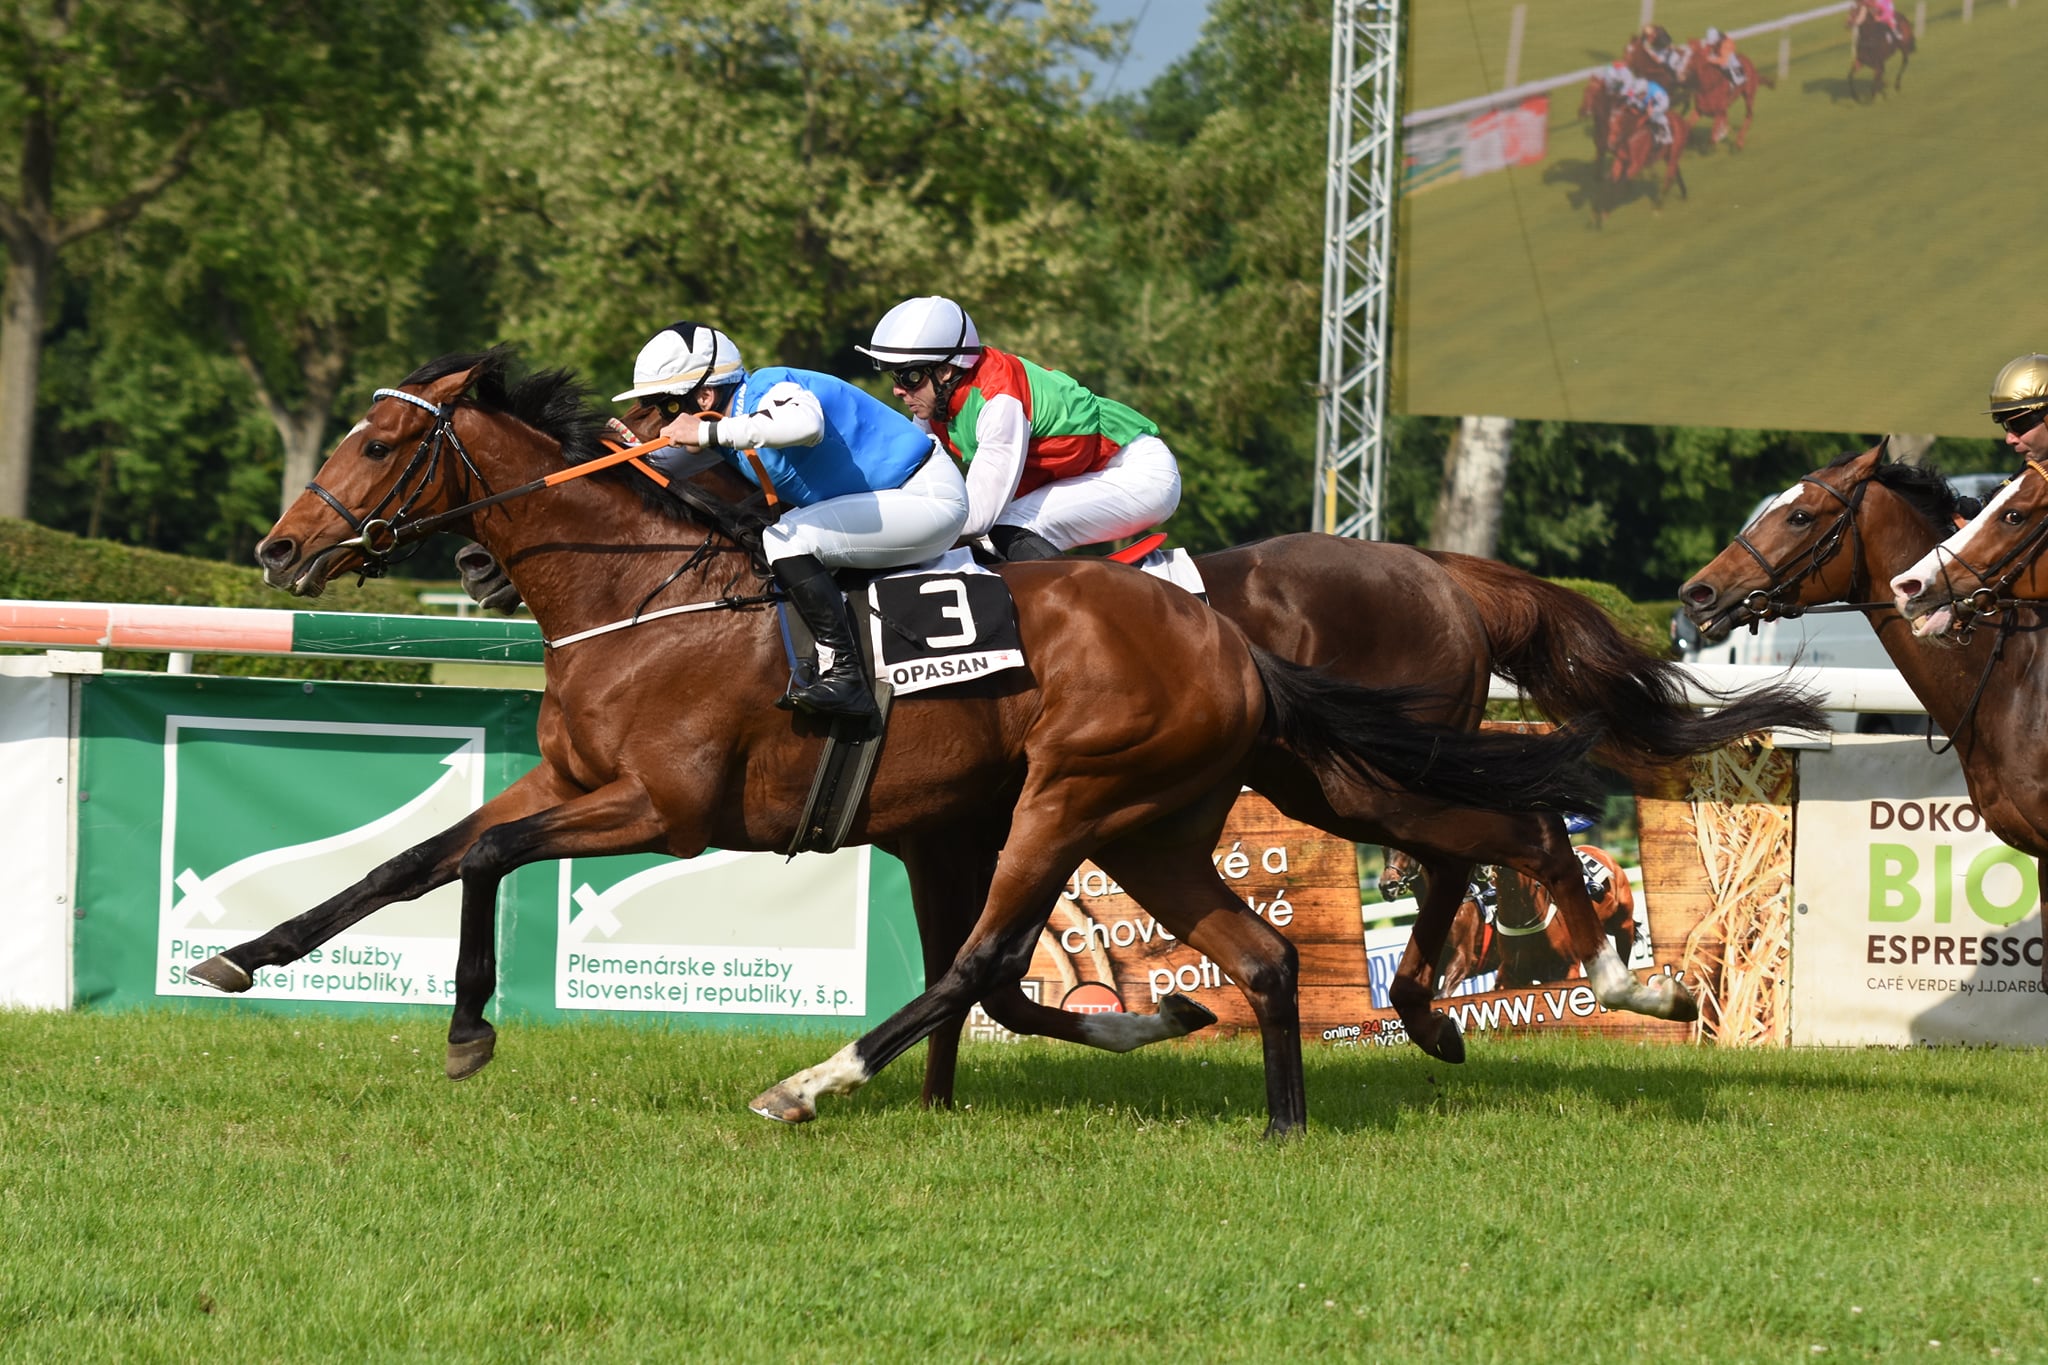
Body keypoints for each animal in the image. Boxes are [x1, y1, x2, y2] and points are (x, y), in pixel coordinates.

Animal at [199, 347, 1622, 1137]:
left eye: (382, 440)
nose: (277, 548)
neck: (648, 594)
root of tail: (1225, 645)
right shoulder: (572, 778)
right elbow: (415, 861)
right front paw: (247, 956)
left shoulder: (665, 810)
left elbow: (487, 861)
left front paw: (467, 1032)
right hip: (1183, 815)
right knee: (1283, 942)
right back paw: (1298, 1098)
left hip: (1087, 796)